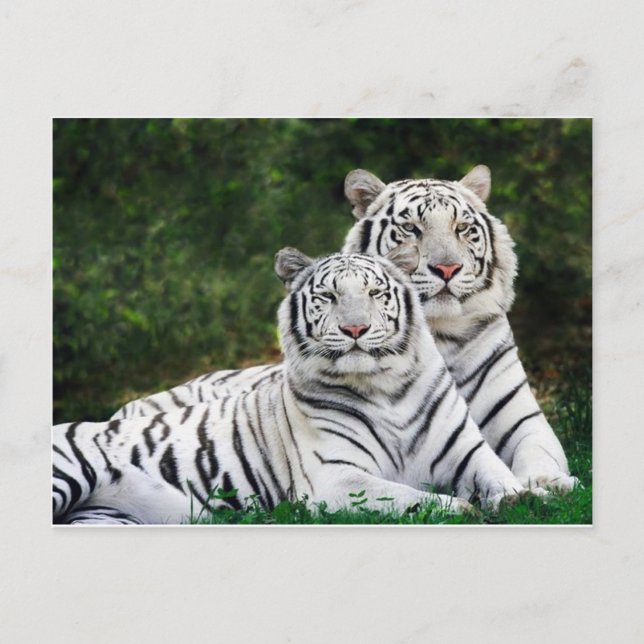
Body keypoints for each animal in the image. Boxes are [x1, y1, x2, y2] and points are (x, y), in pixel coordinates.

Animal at [53, 247, 528, 524]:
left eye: (375, 293)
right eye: (328, 297)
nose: (355, 329)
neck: (386, 388)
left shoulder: (467, 452)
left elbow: (500, 476)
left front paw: (521, 496)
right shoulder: (335, 478)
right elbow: (405, 495)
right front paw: (462, 508)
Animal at [113, 166, 578, 494]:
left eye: (463, 228)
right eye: (411, 228)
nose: (447, 268)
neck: (439, 335)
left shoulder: (522, 420)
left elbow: (540, 453)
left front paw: (551, 484)